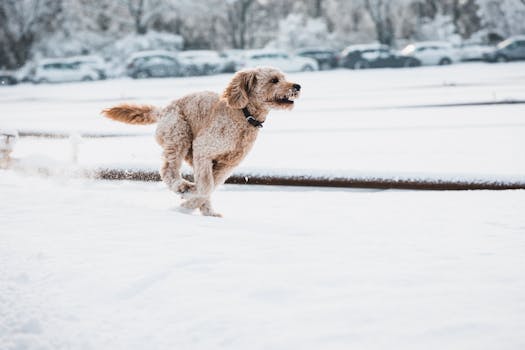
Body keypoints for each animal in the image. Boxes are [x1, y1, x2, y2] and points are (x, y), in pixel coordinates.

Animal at [102, 66, 300, 216]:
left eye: (284, 77)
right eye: (274, 80)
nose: (297, 86)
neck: (243, 115)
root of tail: (163, 110)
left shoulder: (227, 164)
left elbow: (210, 186)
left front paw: (191, 204)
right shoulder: (204, 150)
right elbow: (206, 186)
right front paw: (186, 201)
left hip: (189, 149)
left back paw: (207, 210)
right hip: (179, 135)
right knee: (168, 170)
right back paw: (181, 186)